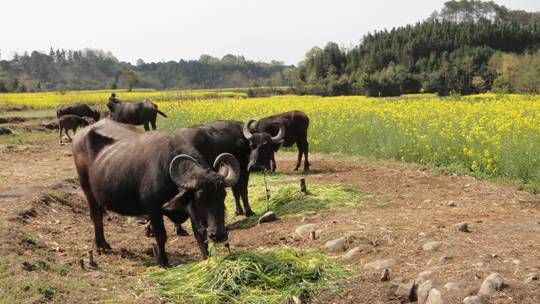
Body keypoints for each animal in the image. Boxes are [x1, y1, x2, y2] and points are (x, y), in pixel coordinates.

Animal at [71, 119, 238, 266]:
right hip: (87, 190)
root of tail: (80, 135)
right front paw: (163, 262)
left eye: (223, 195)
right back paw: (101, 245)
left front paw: (207, 259)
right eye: (200, 197)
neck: (167, 172)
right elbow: (161, 235)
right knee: (96, 216)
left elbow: (200, 235)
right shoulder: (153, 209)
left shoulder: (192, 211)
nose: (219, 235)